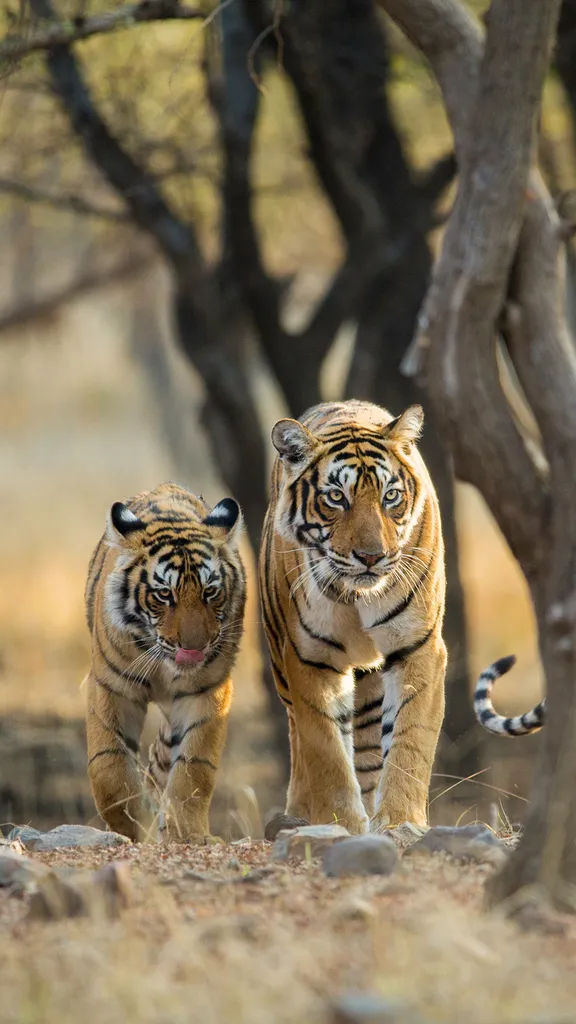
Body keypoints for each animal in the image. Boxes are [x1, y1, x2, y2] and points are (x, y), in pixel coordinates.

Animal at [84, 482, 246, 843]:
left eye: (210, 592)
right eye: (164, 595)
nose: (194, 649)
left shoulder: (207, 691)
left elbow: (194, 768)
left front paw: (186, 835)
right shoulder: (111, 687)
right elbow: (108, 767)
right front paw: (130, 827)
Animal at [259, 399, 447, 834]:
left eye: (390, 496)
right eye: (335, 497)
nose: (371, 557)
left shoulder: (418, 647)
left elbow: (410, 740)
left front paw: (400, 822)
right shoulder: (311, 658)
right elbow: (325, 750)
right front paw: (339, 822)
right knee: (300, 740)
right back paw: (297, 813)